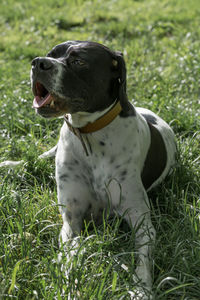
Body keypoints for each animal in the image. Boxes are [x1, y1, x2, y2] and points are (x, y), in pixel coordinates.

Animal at [30, 40, 176, 298]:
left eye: (79, 61)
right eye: (50, 54)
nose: (38, 63)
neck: (89, 135)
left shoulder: (142, 222)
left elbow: (143, 261)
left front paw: (141, 289)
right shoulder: (71, 220)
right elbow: (70, 257)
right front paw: (70, 285)